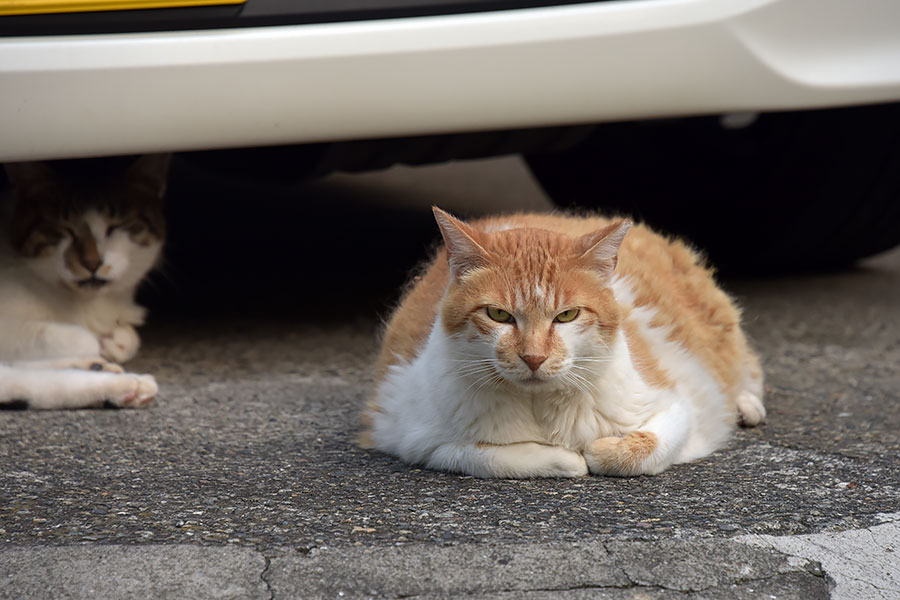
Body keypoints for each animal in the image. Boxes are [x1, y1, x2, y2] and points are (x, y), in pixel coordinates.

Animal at [0, 155, 171, 408]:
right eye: (63, 230)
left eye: (115, 227)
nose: (92, 263)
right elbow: (80, 338)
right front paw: (102, 343)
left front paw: (114, 342)